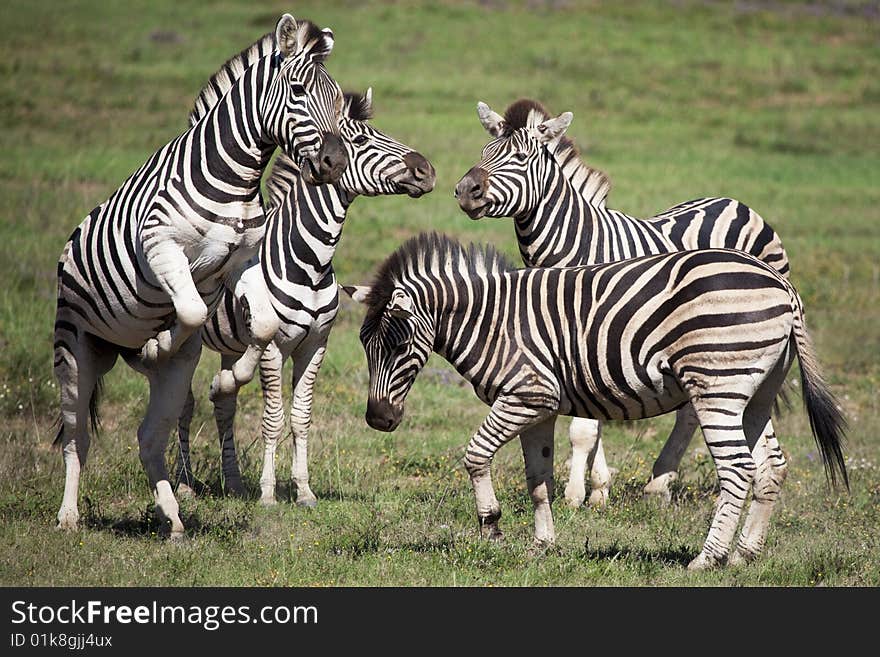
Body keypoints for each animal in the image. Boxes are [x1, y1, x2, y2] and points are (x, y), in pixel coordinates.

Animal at [50, 15, 348, 540]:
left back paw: (172, 518)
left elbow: (262, 327)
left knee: (150, 436)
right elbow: (189, 308)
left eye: (335, 99)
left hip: (166, 377)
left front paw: (229, 377)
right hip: (75, 349)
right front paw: (158, 343)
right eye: (297, 90)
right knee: (76, 435)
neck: (235, 180)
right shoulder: (160, 246)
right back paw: (69, 517)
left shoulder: (243, 262)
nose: (334, 164)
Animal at [174, 83, 434, 502]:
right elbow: (273, 418)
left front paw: (304, 490)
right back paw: (183, 485)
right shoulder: (273, 348)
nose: (427, 170)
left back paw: (233, 481)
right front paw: (268, 494)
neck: (310, 262)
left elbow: (300, 417)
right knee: (183, 403)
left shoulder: (315, 346)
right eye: (361, 140)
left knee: (224, 402)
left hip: (231, 345)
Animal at [348, 233, 848, 568]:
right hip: (756, 393)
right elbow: (539, 479)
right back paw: (745, 554)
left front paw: (491, 529)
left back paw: (707, 559)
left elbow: (475, 456)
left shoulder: (526, 394)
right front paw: (543, 545)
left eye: (400, 345)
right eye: (364, 344)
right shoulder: (539, 406)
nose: (378, 419)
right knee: (771, 467)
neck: (491, 322)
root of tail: (782, 286)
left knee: (738, 469)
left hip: (718, 386)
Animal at [454, 98, 792, 508]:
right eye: (484, 152)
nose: (465, 190)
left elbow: (584, 429)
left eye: (519, 157)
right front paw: (599, 489)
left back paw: (660, 483)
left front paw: (575, 495)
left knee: (693, 413)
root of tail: (735, 202)